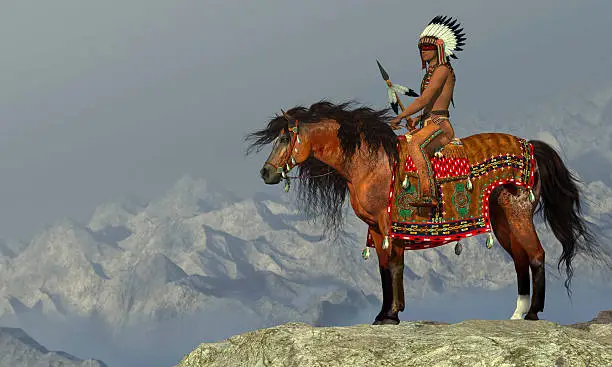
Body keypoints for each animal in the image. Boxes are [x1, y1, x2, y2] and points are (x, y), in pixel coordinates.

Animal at [245, 100, 608, 324]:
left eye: (284, 139)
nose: (265, 173)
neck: (369, 163)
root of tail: (531, 146)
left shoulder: (384, 225)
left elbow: (390, 268)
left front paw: (388, 316)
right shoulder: (377, 229)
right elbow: (388, 269)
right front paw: (389, 313)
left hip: (518, 214)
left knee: (536, 255)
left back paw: (533, 313)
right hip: (503, 220)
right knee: (520, 259)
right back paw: (518, 314)